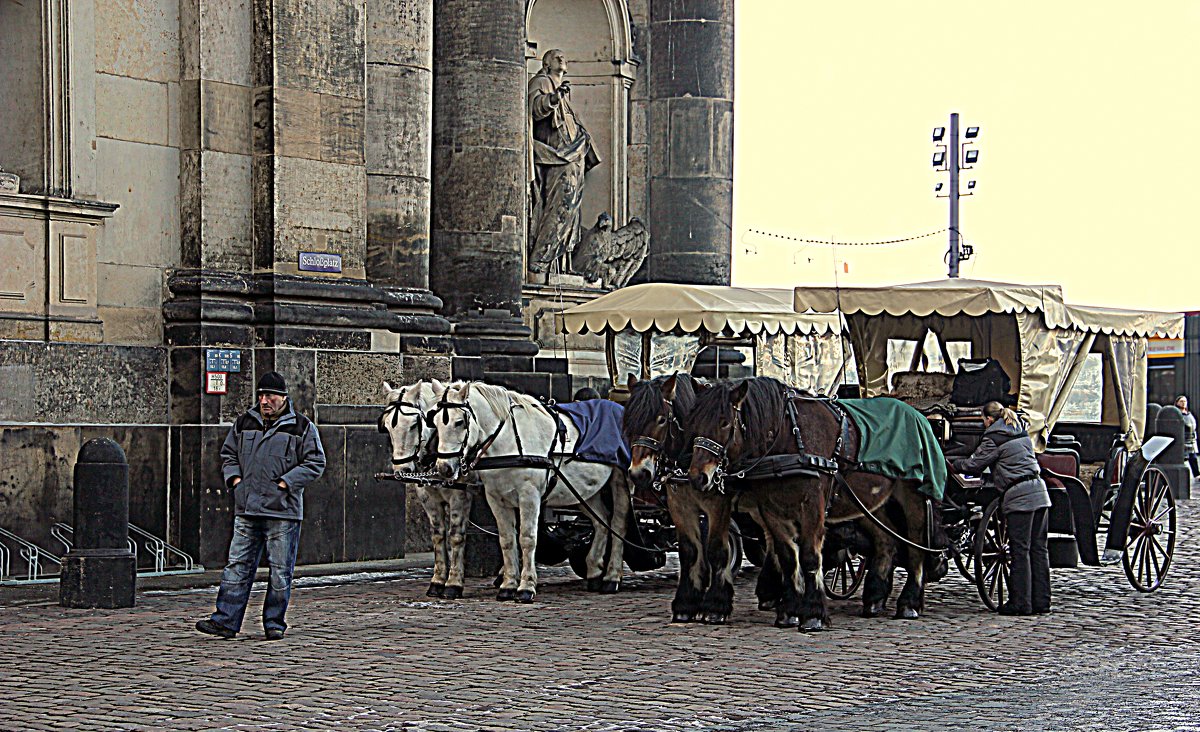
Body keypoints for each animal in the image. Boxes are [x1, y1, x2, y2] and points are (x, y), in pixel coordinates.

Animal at [379, 379, 472, 595]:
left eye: (414, 424)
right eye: (387, 427)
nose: (402, 470)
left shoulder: (460, 497)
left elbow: (455, 536)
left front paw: (454, 583)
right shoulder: (428, 497)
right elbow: (438, 535)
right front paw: (437, 581)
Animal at [434, 381, 638, 597]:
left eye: (459, 422)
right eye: (435, 422)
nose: (443, 468)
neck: (509, 440)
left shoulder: (529, 496)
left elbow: (527, 538)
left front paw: (526, 586)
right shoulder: (496, 499)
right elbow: (507, 540)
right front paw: (508, 586)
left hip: (620, 482)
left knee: (618, 524)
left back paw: (612, 577)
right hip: (586, 492)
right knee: (601, 522)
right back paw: (594, 571)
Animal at [686, 376, 936, 628]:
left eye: (724, 423)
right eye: (694, 423)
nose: (698, 477)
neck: (790, 440)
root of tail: (917, 414)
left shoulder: (812, 506)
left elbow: (809, 556)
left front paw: (813, 612)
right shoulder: (771, 510)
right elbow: (788, 557)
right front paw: (789, 611)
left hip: (912, 497)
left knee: (916, 545)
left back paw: (909, 603)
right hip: (869, 504)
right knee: (886, 541)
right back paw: (874, 599)